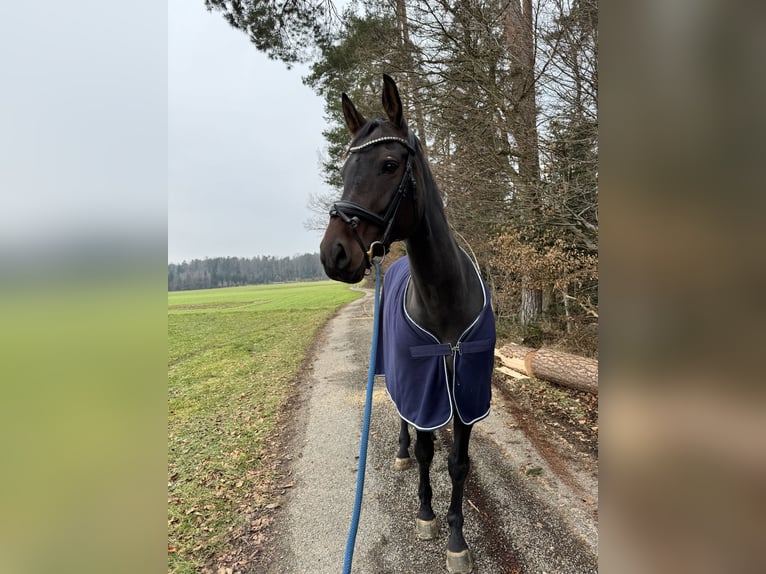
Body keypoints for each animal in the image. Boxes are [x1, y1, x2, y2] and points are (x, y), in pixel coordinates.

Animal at [320, 74, 496, 572]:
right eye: (344, 170)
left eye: (389, 164)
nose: (334, 254)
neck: (445, 301)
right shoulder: (423, 383)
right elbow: (423, 449)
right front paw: (425, 513)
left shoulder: (466, 390)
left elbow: (458, 463)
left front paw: (457, 539)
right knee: (402, 416)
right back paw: (399, 454)